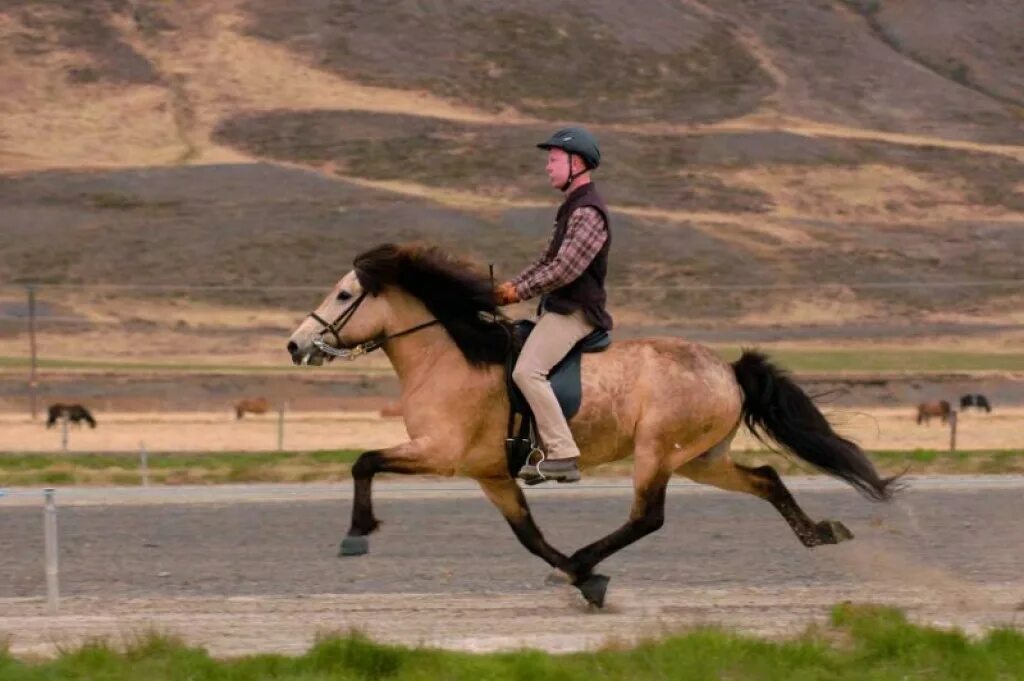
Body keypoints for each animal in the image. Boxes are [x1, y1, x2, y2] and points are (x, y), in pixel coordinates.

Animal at [286, 242, 897, 606]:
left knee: (648, 517)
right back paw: (820, 533)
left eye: (344, 294)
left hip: (658, 452)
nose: (295, 345)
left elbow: (364, 461)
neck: (450, 356)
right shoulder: (490, 474)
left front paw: (356, 533)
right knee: (766, 478)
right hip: (701, 459)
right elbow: (529, 536)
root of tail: (727, 369)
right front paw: (583, 579)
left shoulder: (441, 451)